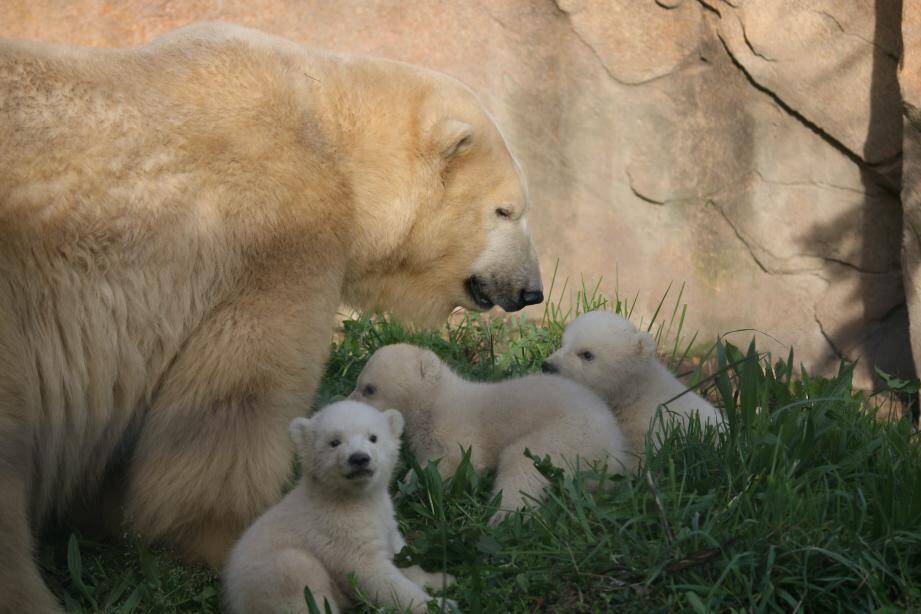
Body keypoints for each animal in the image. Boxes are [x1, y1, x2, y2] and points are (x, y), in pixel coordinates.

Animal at [0, 21, 540, 612]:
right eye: (505, 210)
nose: (531, 290)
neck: (330, 136)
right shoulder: (274, 235)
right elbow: (243, 393)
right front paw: (229, 532)